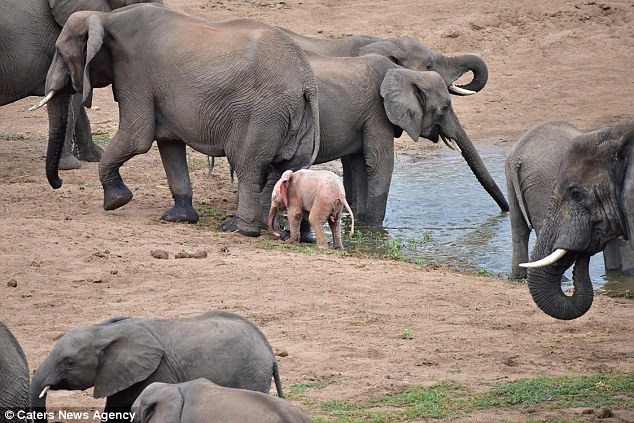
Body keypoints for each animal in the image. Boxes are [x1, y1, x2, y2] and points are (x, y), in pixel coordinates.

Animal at [288, 52, 506, 229]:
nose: (506, 211)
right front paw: (375, 228)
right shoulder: (377, 111)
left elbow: (361, 164)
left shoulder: (366, 118)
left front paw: (364, 226)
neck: (404, 73)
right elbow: (380, 162)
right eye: (444, 108)